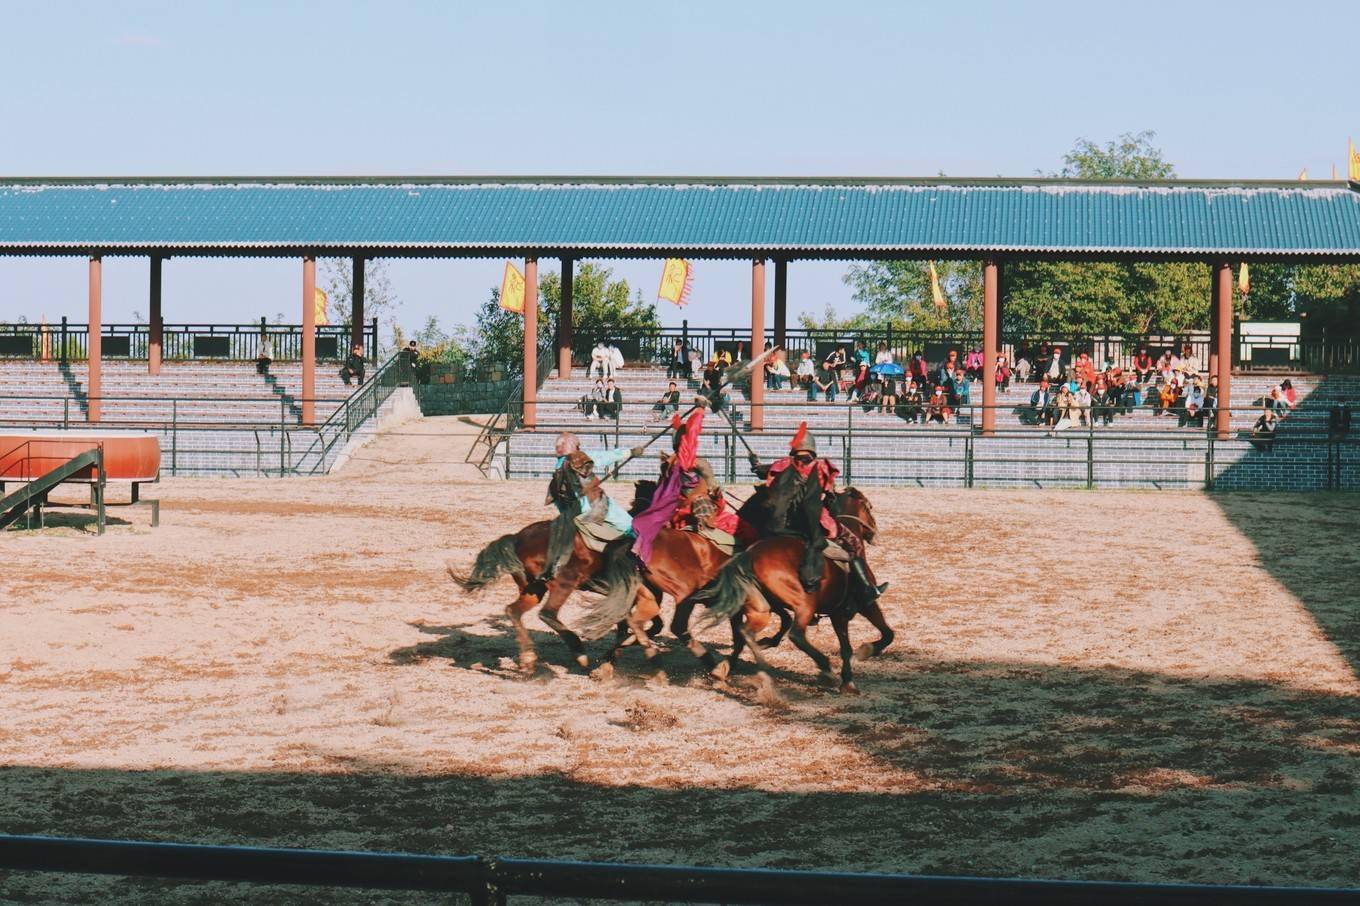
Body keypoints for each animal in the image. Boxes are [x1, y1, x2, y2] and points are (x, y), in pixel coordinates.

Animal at [690, 487, 892, 691]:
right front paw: (864, 654)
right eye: (868, 507)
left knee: (746, 632)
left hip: (762, 606)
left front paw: (848, 680)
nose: (875, 534)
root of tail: (750, 554)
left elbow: (850, 645)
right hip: (804, 605)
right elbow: (882, 636)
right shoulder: (862, 607)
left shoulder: (836, 614)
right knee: (796, 635)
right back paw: (824, 669)